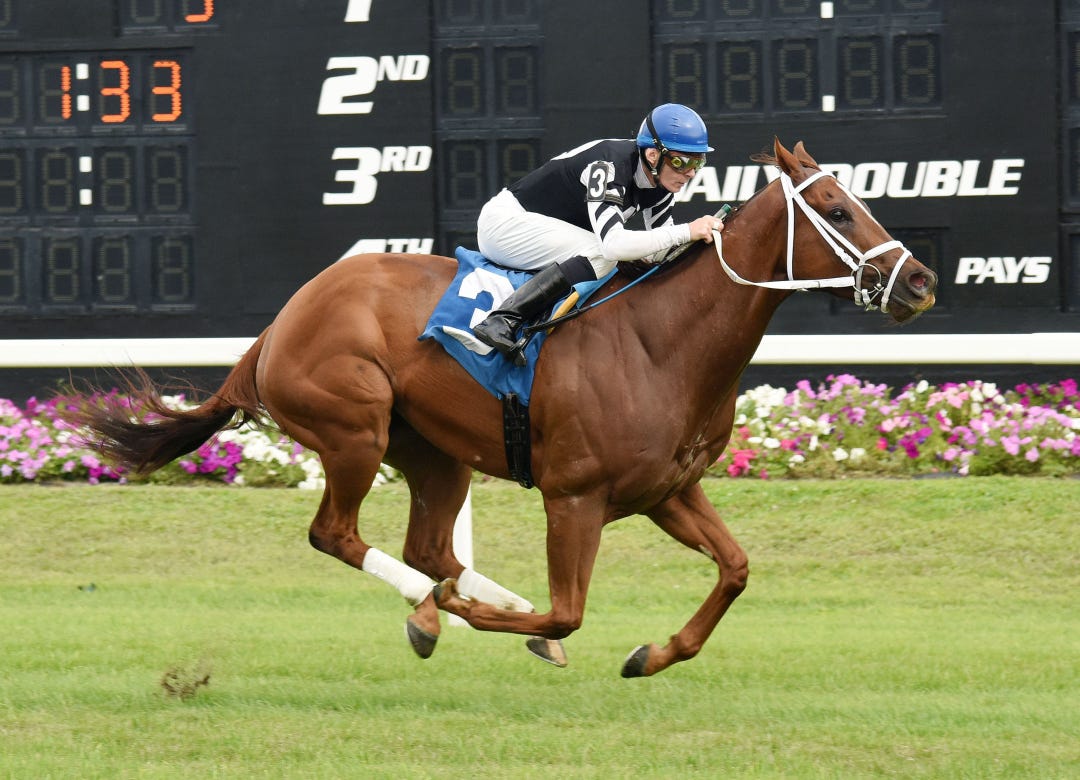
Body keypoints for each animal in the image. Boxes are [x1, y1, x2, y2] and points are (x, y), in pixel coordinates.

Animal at [65, 139, 937, 678]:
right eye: (837, 207)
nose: (921, 280)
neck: (659, 343)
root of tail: (279, 324)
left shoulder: (667, 491)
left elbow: (736, 570)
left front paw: (652, 654)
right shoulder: (575, 497)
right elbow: (568, 612)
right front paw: (490, 621)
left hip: (433, 452)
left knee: (431, 549)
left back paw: (452, 603)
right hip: (353, 427)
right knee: (339, 535)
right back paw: (431, 609)